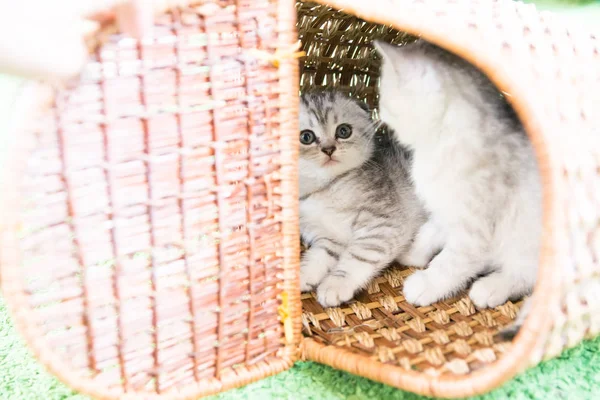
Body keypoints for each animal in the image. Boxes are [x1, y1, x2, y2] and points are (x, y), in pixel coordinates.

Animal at [298, 92, 424, 308]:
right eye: (306, 137)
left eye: (344, 131)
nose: (329, 149)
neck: (325, 187)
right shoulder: (329, 237)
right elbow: (319, 255)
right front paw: (305, 273)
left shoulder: (382, 224)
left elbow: (358, 256)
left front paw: (335, 284)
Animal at [372, 40, 540, 310]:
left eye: (385, 99)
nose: (380, 115)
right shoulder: (445, 210)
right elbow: (429, 232)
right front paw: (412, 253)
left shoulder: (476, 230)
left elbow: (450, 262)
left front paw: (426, 284)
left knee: (525, 273)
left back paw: (492, 287)